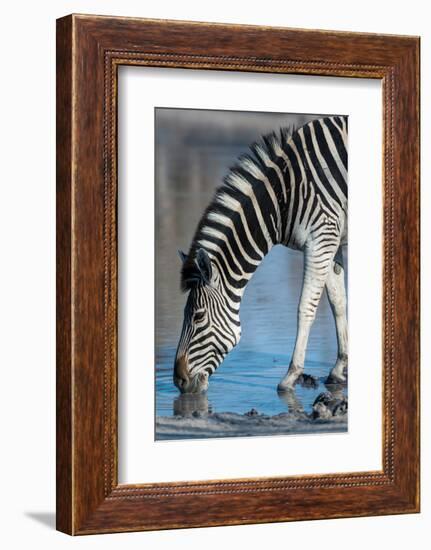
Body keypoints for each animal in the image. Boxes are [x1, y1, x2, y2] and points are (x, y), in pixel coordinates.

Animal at [174, 114, 350, 394]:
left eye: (198, 316)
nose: (177, 381)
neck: (283, 198)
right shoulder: (330, 242)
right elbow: (338, 302)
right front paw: (338, 368)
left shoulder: (321, 237)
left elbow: (305, 307)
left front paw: (290, 376)